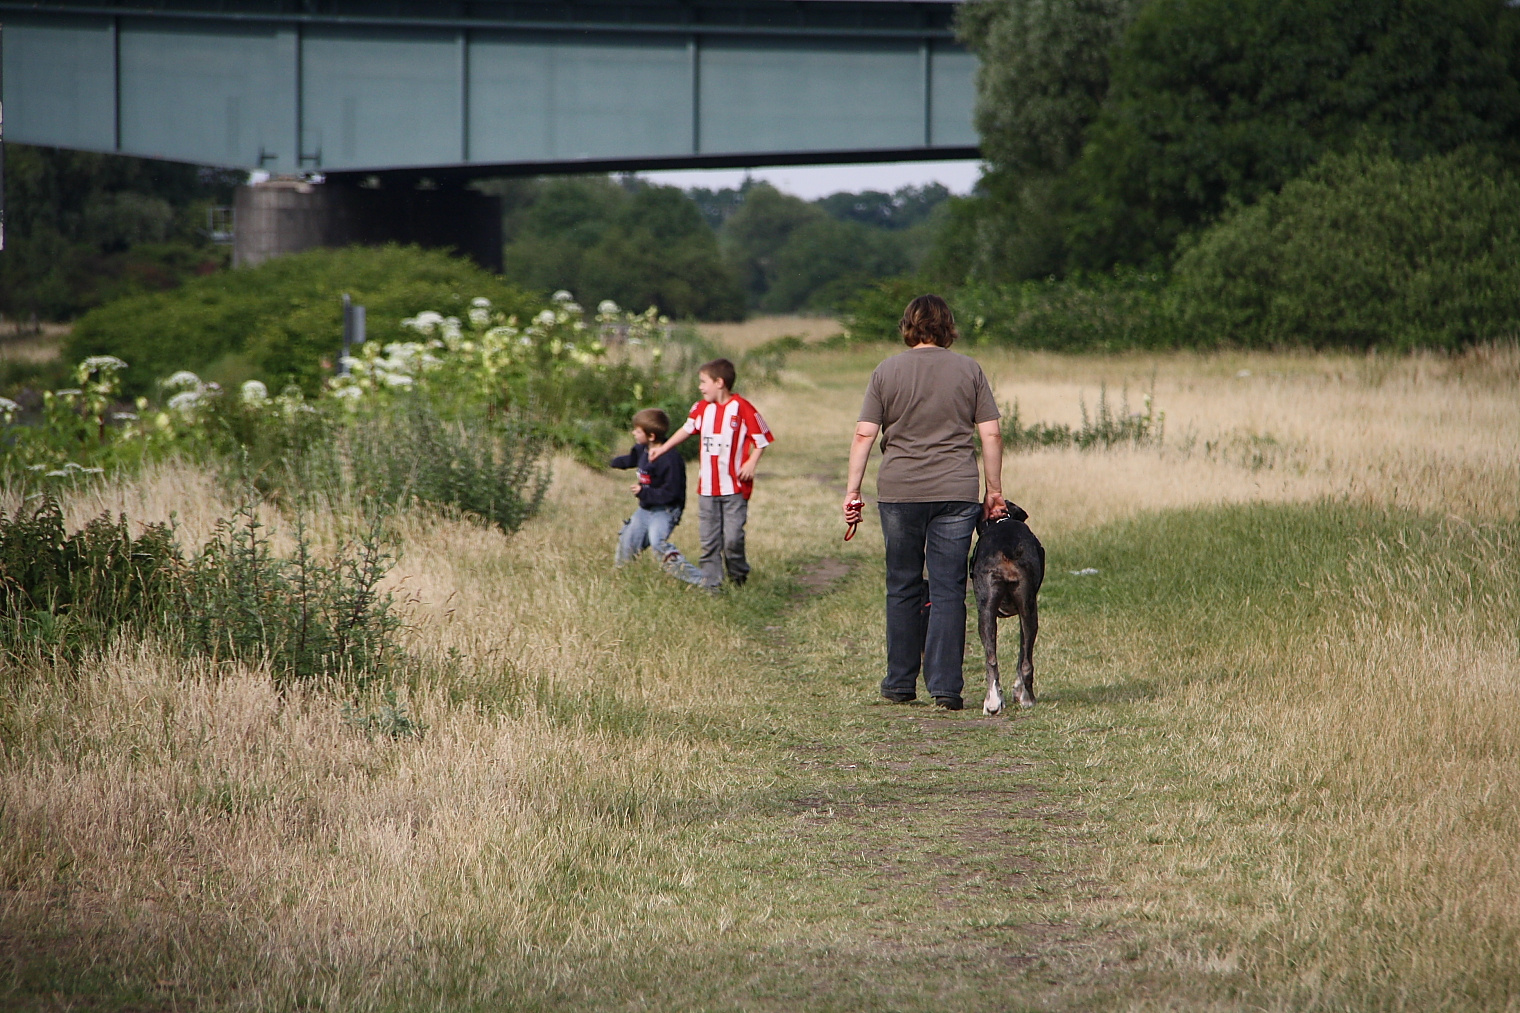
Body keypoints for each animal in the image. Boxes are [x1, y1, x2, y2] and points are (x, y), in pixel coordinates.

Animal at [972, 501, 1045, 708]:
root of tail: (1006, 548)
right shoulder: (1025, 611)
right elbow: (1022, 654)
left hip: (986, 612)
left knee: (991, 659)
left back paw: (993, 702)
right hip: (1029, 610)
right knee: (1026, 662)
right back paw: (1027, 698)